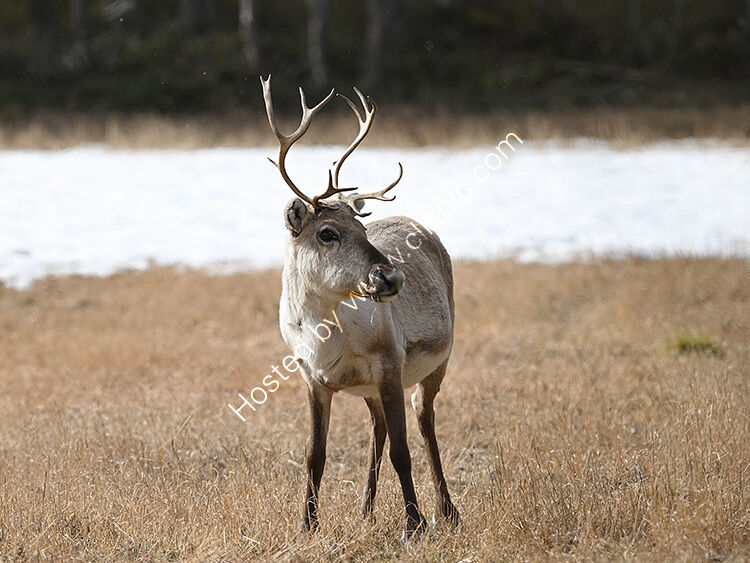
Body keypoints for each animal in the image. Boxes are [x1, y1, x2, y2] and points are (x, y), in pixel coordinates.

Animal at [260, 75, 460, 539]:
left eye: (363, 228)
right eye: (327, 232)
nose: (391, 277)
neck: (326, 336)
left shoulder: (388, 361)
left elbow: (403, 451)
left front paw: (414, 524)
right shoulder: (311, 375)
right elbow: (314, 454)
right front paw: (307, 524)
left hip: (438, 360)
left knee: (424, 420)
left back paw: (447, 510)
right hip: (368, 390)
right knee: (378, 427)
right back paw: (365, 510)